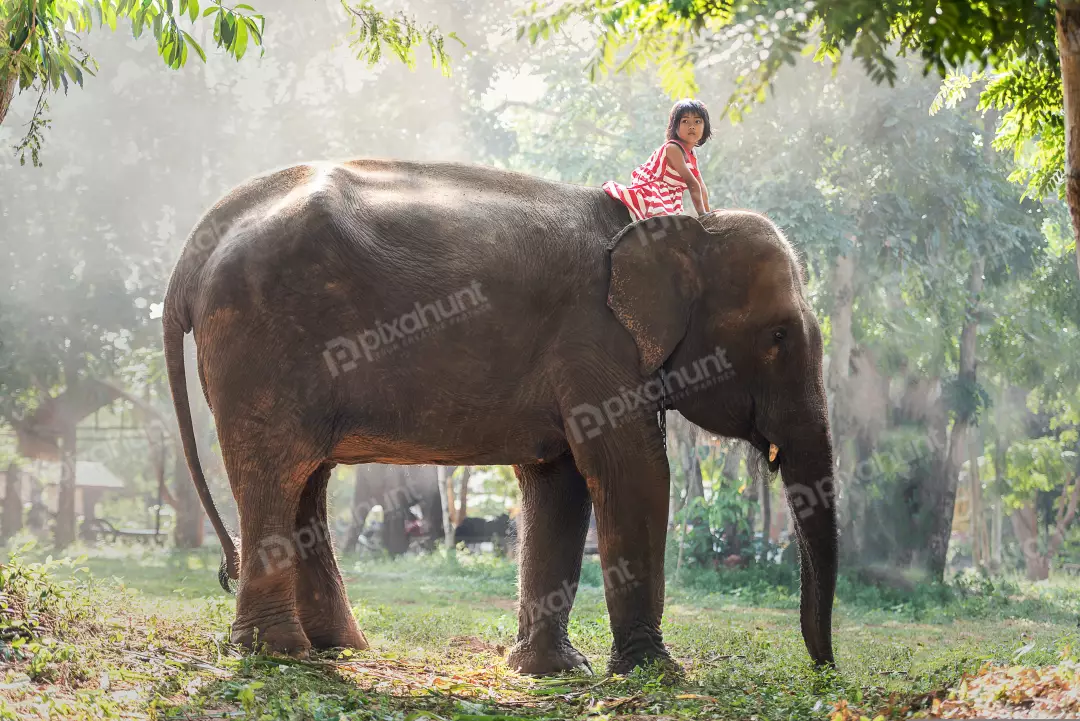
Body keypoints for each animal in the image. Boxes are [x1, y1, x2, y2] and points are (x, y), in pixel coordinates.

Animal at [162, 158, 833, 677]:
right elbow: (632, 474)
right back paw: (278, 654)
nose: (823, 669)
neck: (676, 230)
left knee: (306, 480)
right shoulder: (597, 343)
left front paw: (551, 671)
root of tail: (194, 250)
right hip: (261, 345)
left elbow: (560, 484)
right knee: (276, 473)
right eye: (778, 336)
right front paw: (655, 673)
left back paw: (337, 649)